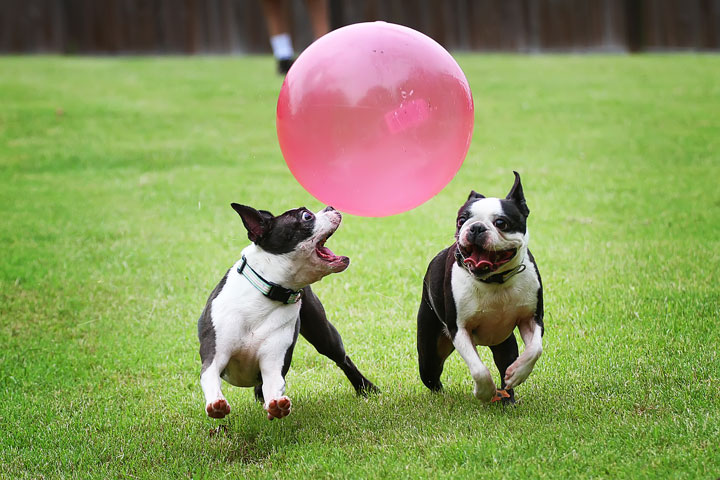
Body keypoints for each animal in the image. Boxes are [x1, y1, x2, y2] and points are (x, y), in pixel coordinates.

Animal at [197, 202, 376, 420]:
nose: (330, 206)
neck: (267, 291)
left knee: (343, 360)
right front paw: (216, 404)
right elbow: (210, 377)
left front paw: (276, 404)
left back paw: (366, 388)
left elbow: (274, 383)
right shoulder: (214, 355)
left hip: (324, 336)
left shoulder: (273, 362)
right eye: (306, 216)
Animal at [416, 172, 544, 404]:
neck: (495, 280)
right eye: (461, 220)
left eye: (501, 222)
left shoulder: (532, 319)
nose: (475, 227)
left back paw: (507, 397)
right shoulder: (459, 329)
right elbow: (479, 369)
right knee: (432, 376)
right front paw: (483, 392)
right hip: (429, 354)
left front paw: (518, 374)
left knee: (505, 364)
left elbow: (535, 349)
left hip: (505, 344)